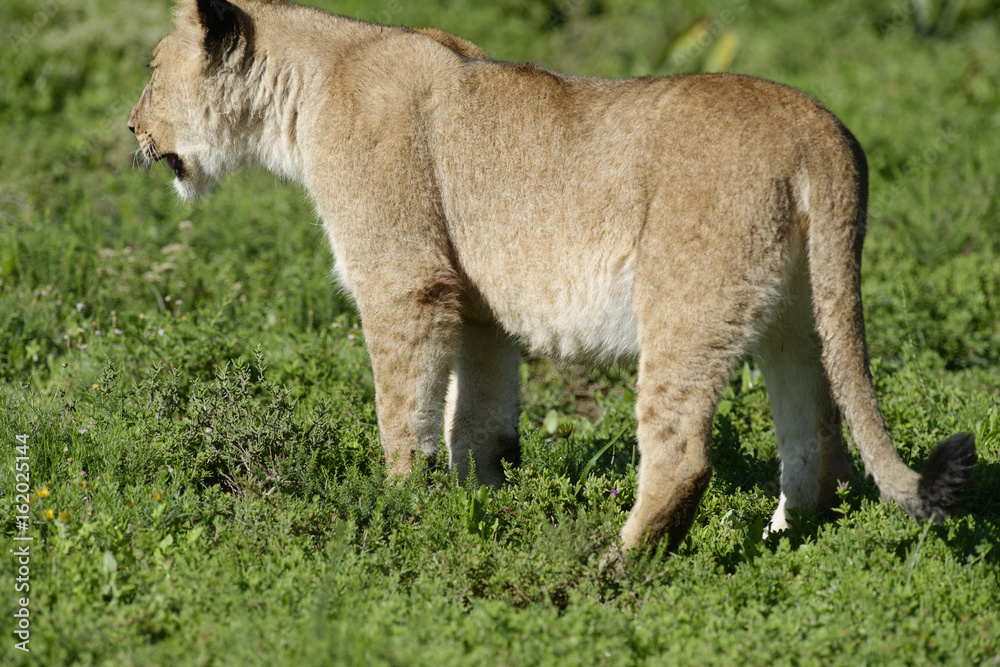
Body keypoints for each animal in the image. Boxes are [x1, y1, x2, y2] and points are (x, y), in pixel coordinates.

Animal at [129, 0, 976, 558]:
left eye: (150, 70)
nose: (131, 129)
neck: (305, 86)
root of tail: (819, 131)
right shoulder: (476, 306)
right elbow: (476, 423)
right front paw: (484, 513)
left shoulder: (406, 280)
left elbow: (403, 413)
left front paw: (400, 508)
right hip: (798, 315)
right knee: (818, 436)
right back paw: (789, 541)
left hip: (684, 301)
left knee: (681, 454)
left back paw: (618, 564)